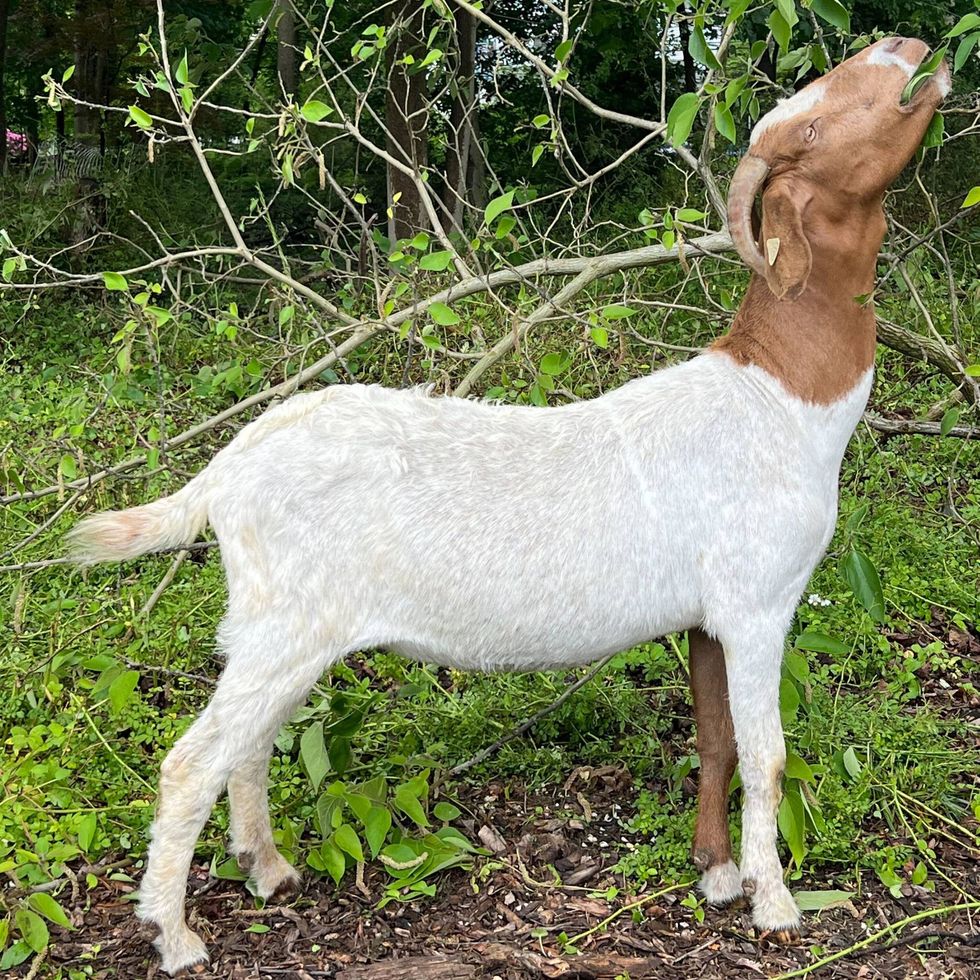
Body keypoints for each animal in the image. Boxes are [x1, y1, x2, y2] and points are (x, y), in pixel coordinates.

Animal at [68, 37, 949, 975]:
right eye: (812, 128)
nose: (908, 48)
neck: (781, 395)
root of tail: (230, 467)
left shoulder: (709, 616)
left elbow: (714, 740)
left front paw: (713, 878)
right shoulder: (758, 601)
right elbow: (767, 755)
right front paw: (774, 904)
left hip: (284, 627)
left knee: (251, 742)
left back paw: (268, 870)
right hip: (285, 623)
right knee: (191, 762)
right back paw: (176, 935)